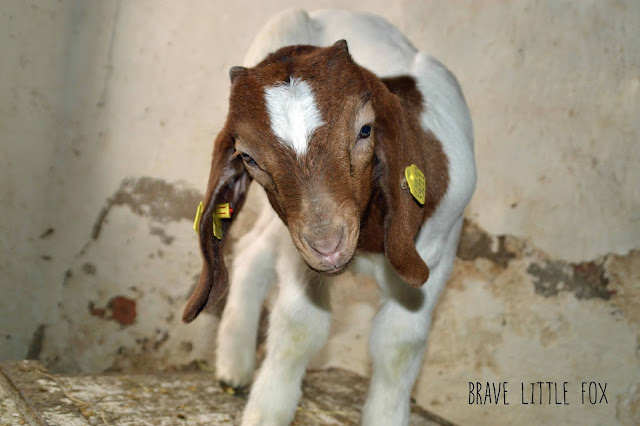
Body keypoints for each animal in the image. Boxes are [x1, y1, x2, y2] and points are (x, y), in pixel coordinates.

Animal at [182, 10, 472, 426]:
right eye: (249, 157)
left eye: (366, 129)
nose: (327, 244)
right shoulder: (299, 250)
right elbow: (300, 325)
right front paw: (267, 411)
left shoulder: (437, 250)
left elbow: (399, 341)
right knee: (257, 246)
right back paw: (233, 365)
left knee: (256, 244)